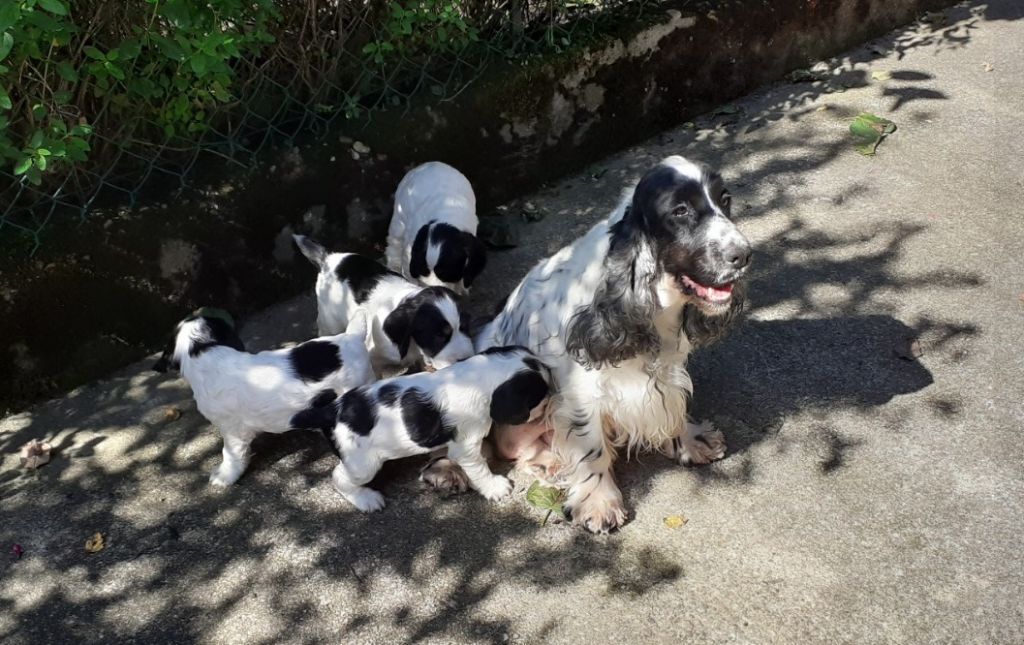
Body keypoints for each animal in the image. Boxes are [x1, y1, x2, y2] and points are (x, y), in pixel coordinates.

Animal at [288, 346, 552, 513]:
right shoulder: (466, 447)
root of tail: (332, 410)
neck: (476, 378)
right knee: (339, 477)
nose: (551, 400)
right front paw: (495, 487)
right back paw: (366, 499)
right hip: (363, 464)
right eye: (539, 397)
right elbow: (480, 468)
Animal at [292, 236, 475, 378]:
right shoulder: (373, 359)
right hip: (329, 321)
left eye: (465, 327)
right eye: (438, 336)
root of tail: (328, 258)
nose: (466, 360)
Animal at [385, 161, 487, 294]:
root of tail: (429, 164)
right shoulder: (411, 249)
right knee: (395, 241)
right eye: (424, 271)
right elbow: (410, 273)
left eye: (446, 274)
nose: (432, 289)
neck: (447, 214)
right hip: (400, 216)